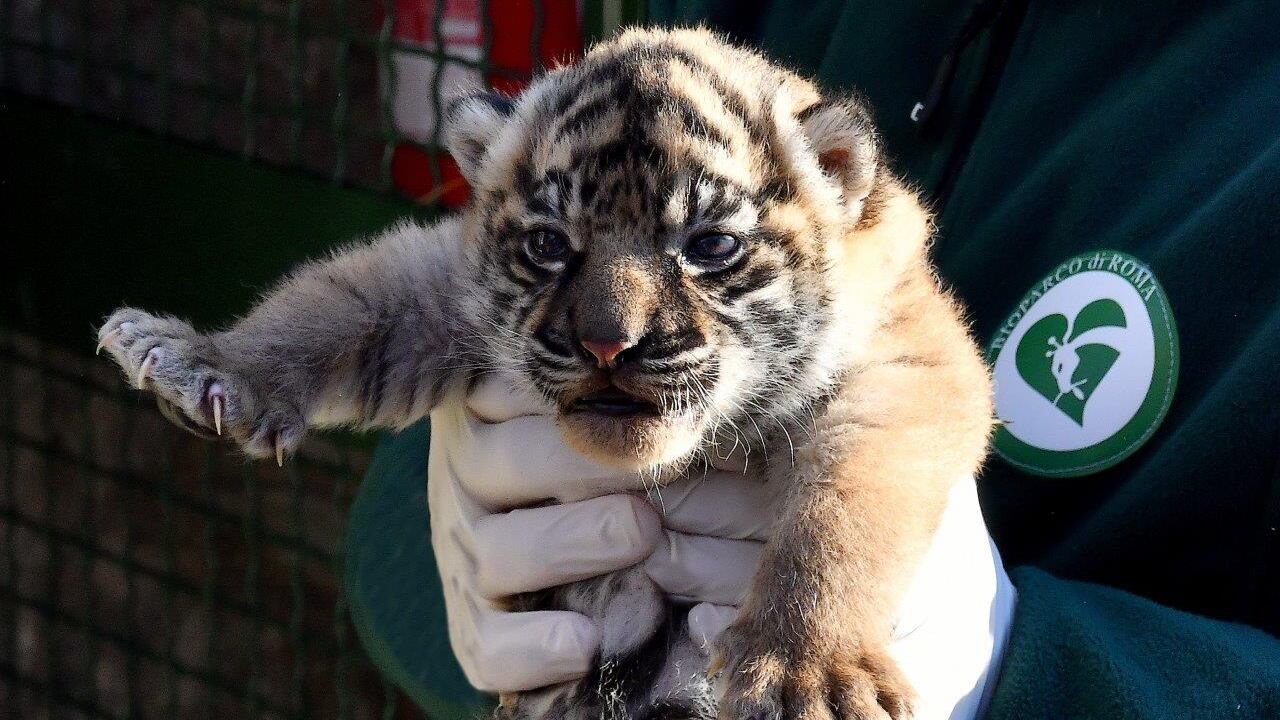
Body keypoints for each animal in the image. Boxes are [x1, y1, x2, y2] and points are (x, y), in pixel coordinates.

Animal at [96, 27, 993, 720]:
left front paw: (807, 670)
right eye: (549, 244)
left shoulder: (903, 374)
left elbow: (842, 516)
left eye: (710, 246)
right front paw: (199, 360)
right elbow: (335, 301)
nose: (607, 346)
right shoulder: (441, 286)